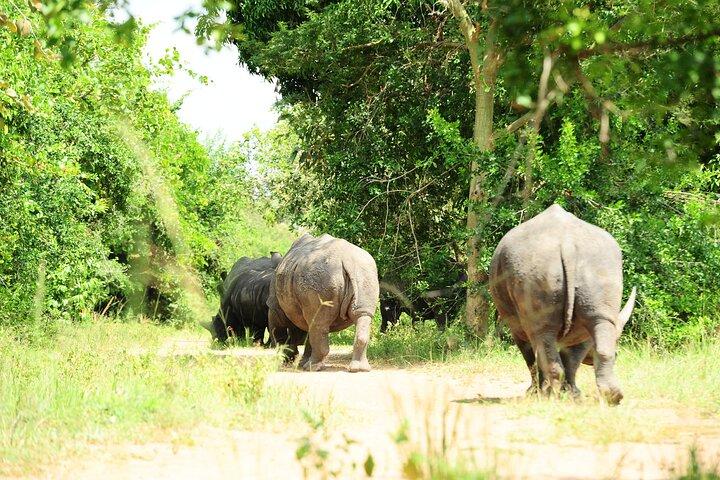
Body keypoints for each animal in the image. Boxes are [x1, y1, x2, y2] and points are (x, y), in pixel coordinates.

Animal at [267, 233, 380, 372]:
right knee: (362, 315)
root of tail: (347, 260)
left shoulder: (274, 305)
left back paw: (312, 367)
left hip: (319, 275)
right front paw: (300, 361)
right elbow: (307, 336)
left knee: (317, 323)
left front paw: (289, 360)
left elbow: (278, 330)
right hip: (365, 272)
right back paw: (359, 369)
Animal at [489, 204, 636, 404]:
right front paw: (569, 394)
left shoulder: (517, 326)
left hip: (536, 265)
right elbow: (568, 357)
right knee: (597, 321)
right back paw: (612, 398)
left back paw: (552, 396)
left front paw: (537, 393)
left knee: (542, 334)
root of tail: (567, 242)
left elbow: (533, 357)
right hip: (599, 262)